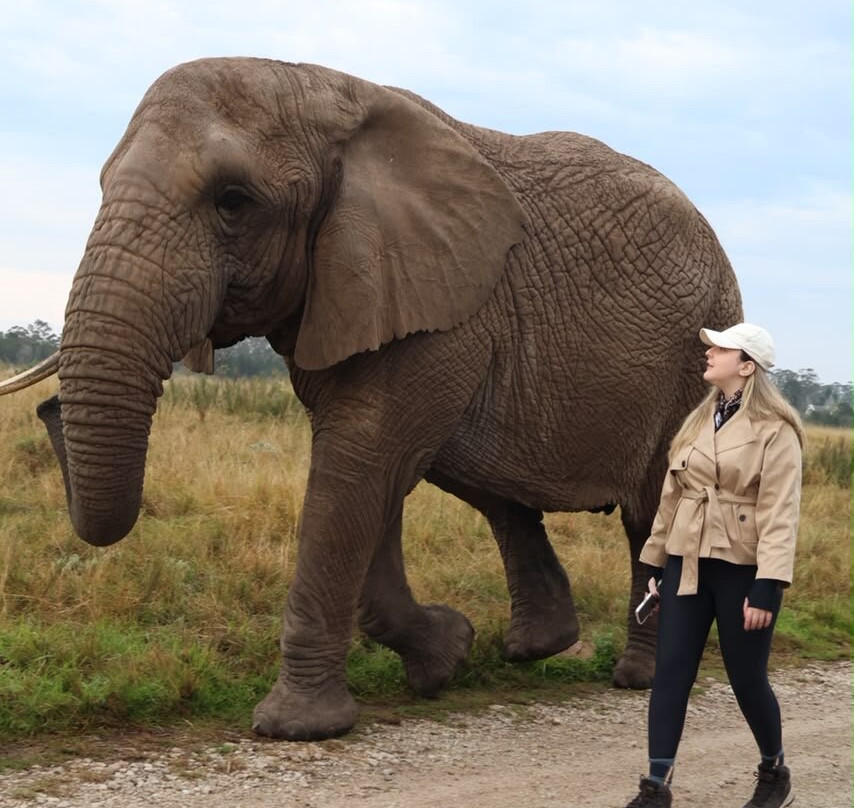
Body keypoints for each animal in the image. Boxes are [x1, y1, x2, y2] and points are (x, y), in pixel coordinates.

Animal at [1, 57, 742, 741]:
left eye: (232, 201)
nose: (48, 409)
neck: (327, 96)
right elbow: (366, 476)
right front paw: (446, 658)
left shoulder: (437, 307)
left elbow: (357, 466)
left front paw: (295, 727)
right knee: (494, 485)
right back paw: (538, 647)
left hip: (697, 356)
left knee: (651, 513)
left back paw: (639, 678)